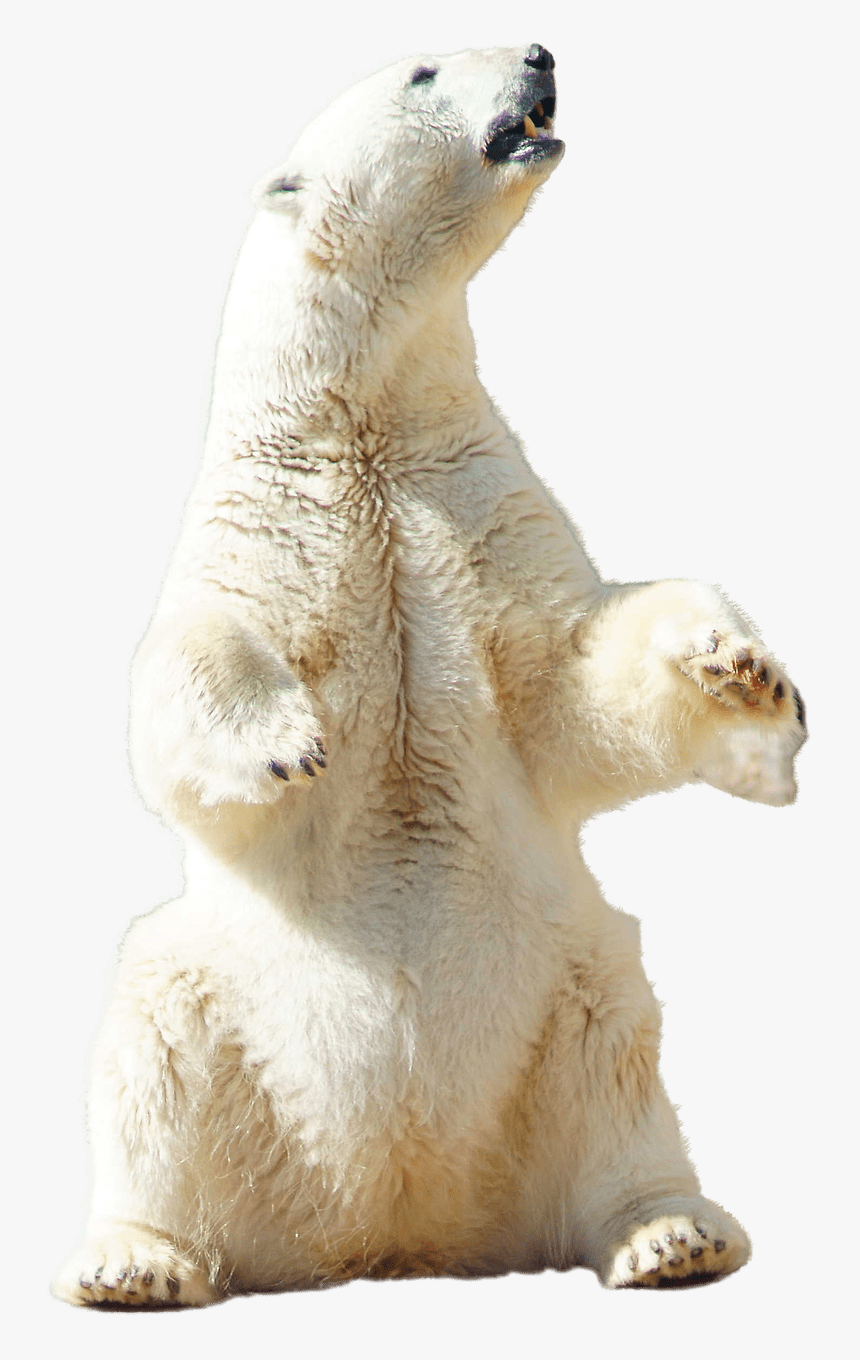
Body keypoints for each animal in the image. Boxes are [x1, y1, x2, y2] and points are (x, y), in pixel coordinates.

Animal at [52, 42, 806, 1305]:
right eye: (421, 70)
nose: (541, 50)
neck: (365, 419)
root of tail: (399, 1227)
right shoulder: (274, 518)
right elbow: (192, 663)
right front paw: (285, 743)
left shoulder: (474, 501)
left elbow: (569, 676)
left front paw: (743, 673)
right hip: (216, 1007)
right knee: (152, 1040)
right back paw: (133, 1260)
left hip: (567, 990)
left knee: (619, 1062)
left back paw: (669, 1234)